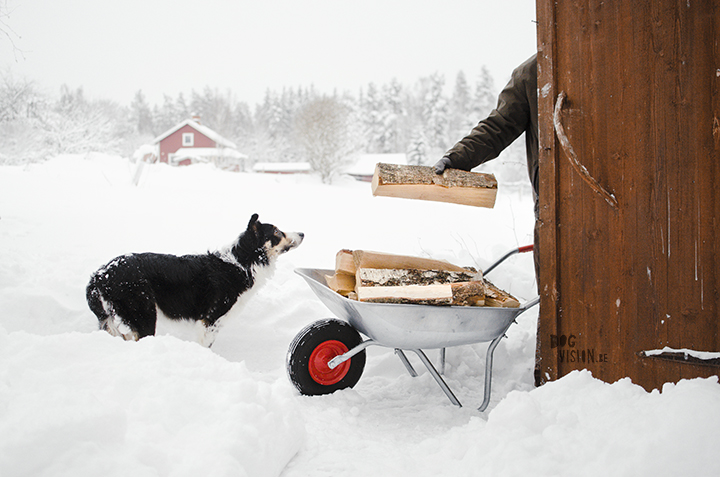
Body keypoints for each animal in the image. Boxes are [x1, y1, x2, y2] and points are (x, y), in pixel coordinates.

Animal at [86, 215, 304, 346]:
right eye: (277, 232)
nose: (302, 233)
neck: (242, 262)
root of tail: (100, 274)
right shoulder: (210, 318)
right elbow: (204, 344)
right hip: (144, 313)